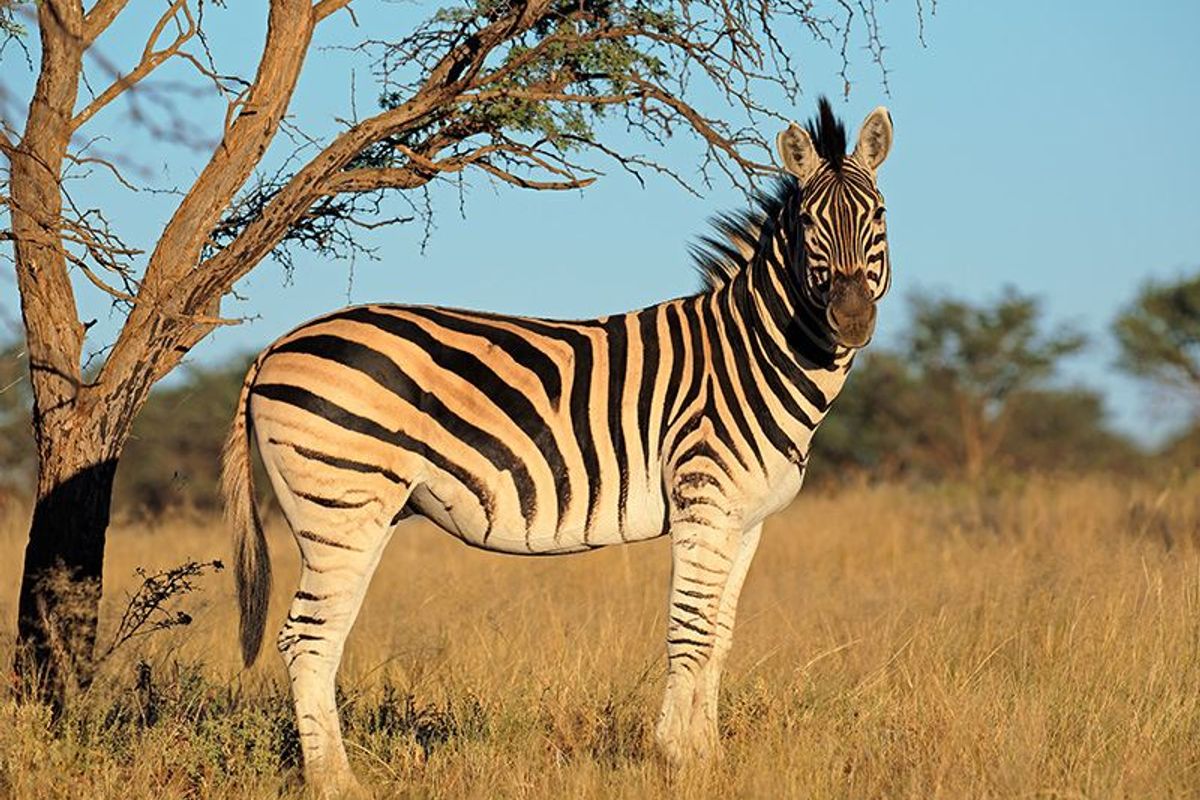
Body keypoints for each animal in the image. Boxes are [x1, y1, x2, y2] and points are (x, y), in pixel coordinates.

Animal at [221, 98, 892, 795]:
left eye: (877, 216)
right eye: (809, 224)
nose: (851, 321)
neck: (753, 354)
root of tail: (275, 346)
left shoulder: (746, 520)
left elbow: (719, 636)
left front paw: (709, 759)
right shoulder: (702, 502)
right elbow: (689, 631)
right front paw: (677, 756)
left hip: (358, 511)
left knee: (317, 638)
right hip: (340, 503)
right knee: (306, 639)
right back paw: (336, 783)